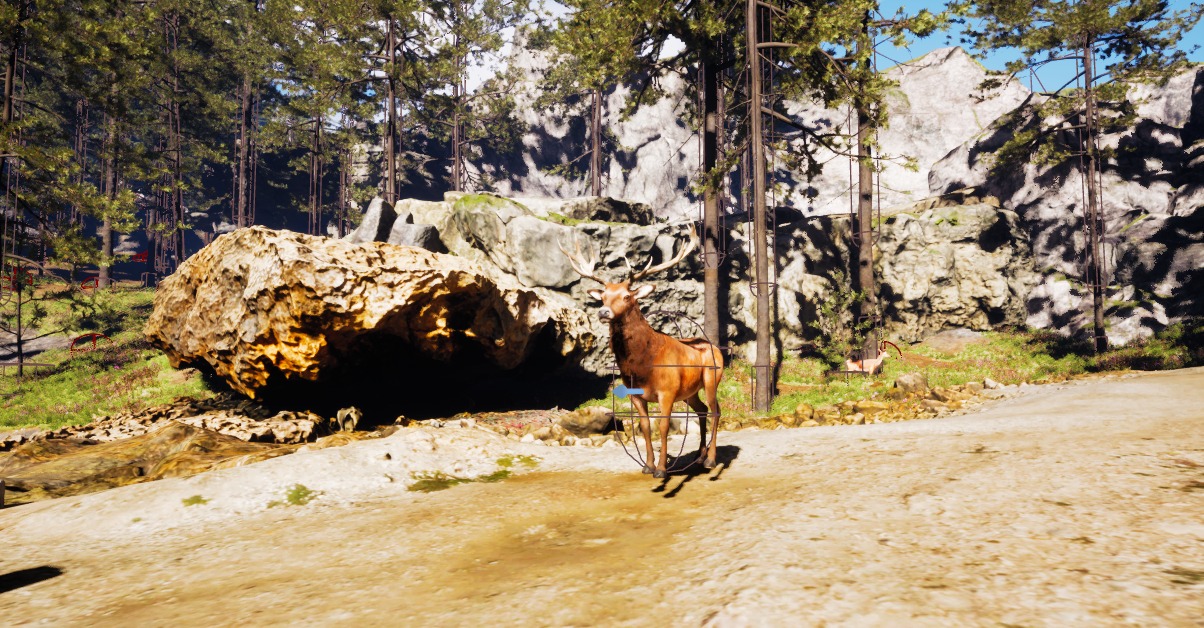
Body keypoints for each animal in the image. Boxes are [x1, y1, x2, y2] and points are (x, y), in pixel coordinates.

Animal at [559, 231, 723, 478]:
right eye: (603, 296)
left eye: (627, 295)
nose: (603, 312)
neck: (645, 365)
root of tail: (717, 349)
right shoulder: (635, 394)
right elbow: (645, 427)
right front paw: (648, 465)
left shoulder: (667, 391)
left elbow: (663, 427)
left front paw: (662, 470)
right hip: (690, 391)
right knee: (702, 410)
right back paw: (699, 456)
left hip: (712, 378)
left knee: (715, 411)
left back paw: (711, 460)